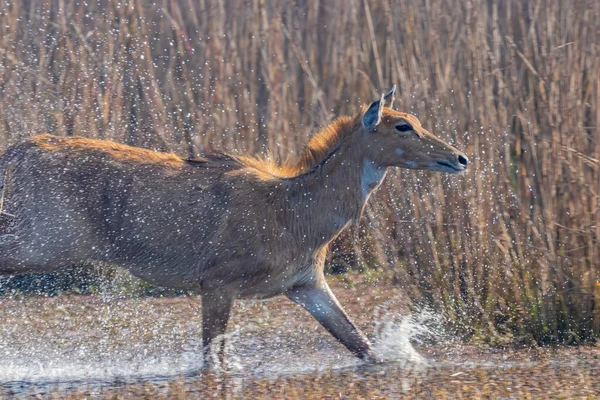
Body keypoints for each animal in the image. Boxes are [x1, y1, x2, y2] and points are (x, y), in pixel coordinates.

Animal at [0, 86, 466, 364]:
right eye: (403, 126)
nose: (459, 157)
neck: (295, 208)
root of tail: (19, 148)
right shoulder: (217, 283)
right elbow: (212, 361)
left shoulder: (306, 285)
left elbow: (361, 345)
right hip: (42, 242)